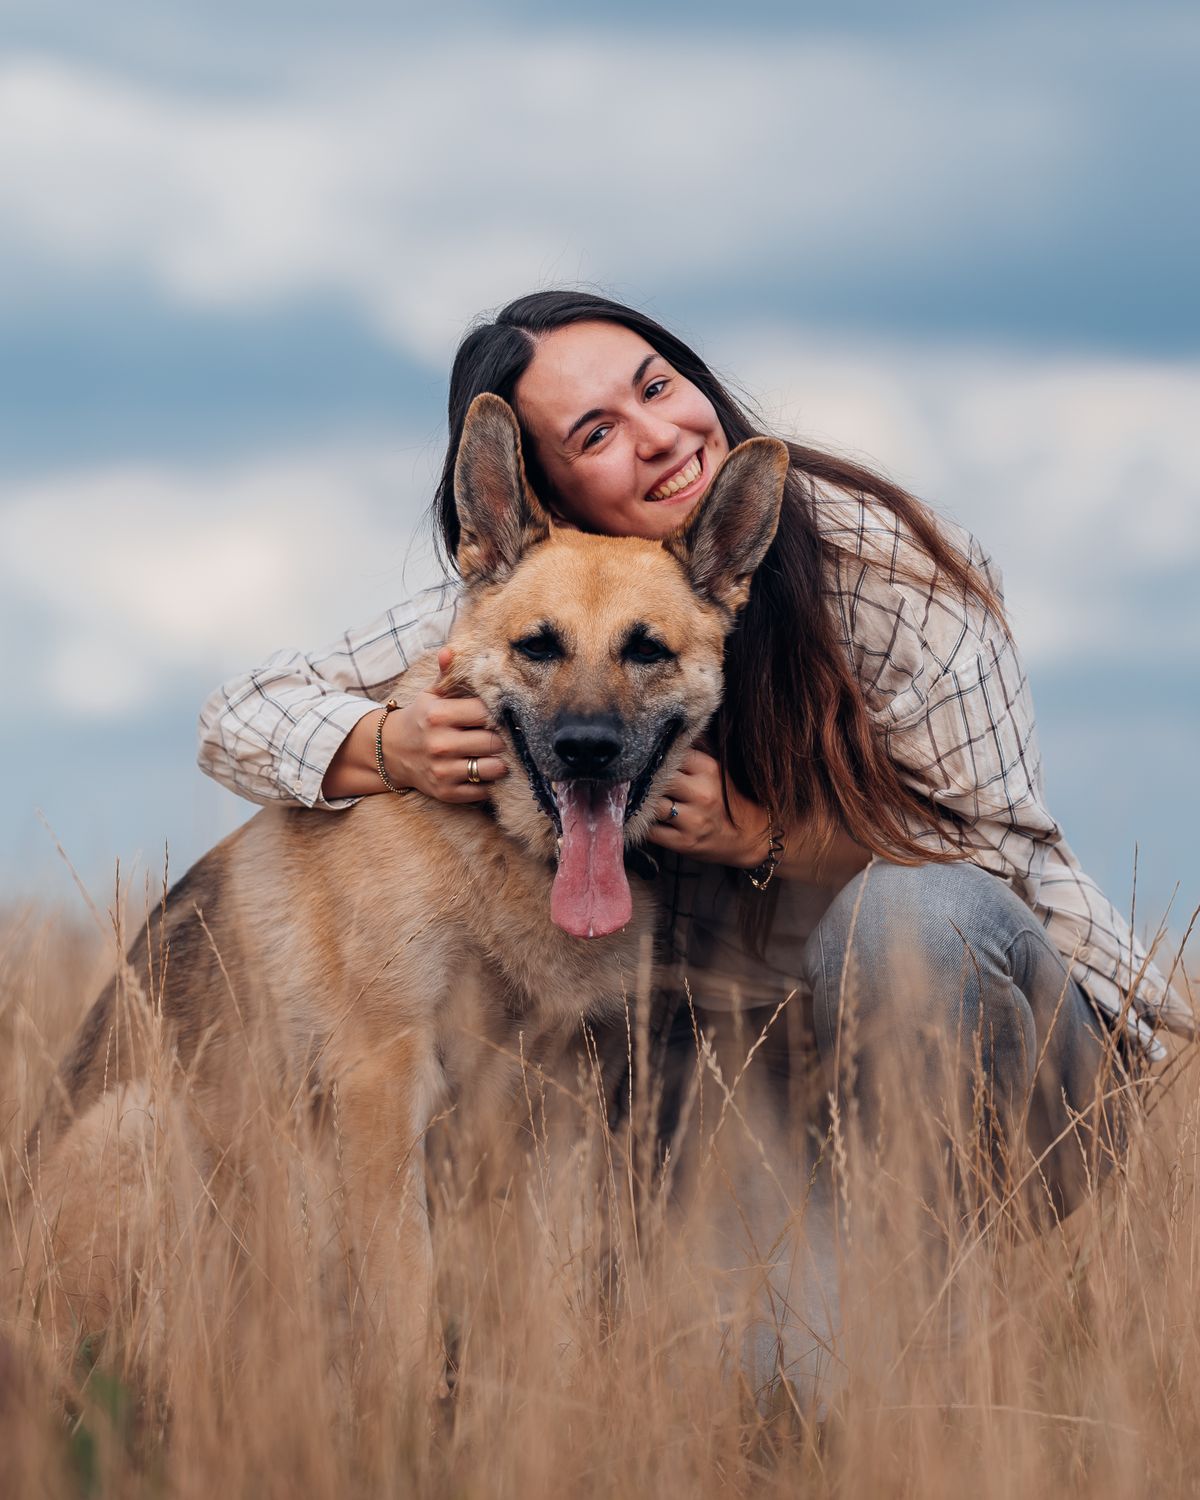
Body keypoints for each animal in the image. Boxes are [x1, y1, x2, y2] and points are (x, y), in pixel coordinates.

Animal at [23, 393, 792, 1374]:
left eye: (647, 651)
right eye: (538, 646)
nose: (585, 748)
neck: (500, 853)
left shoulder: (558, 1109)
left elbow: (547, 1307)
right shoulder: (382, 1081)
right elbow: (404, 1304)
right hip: (150, 1128)